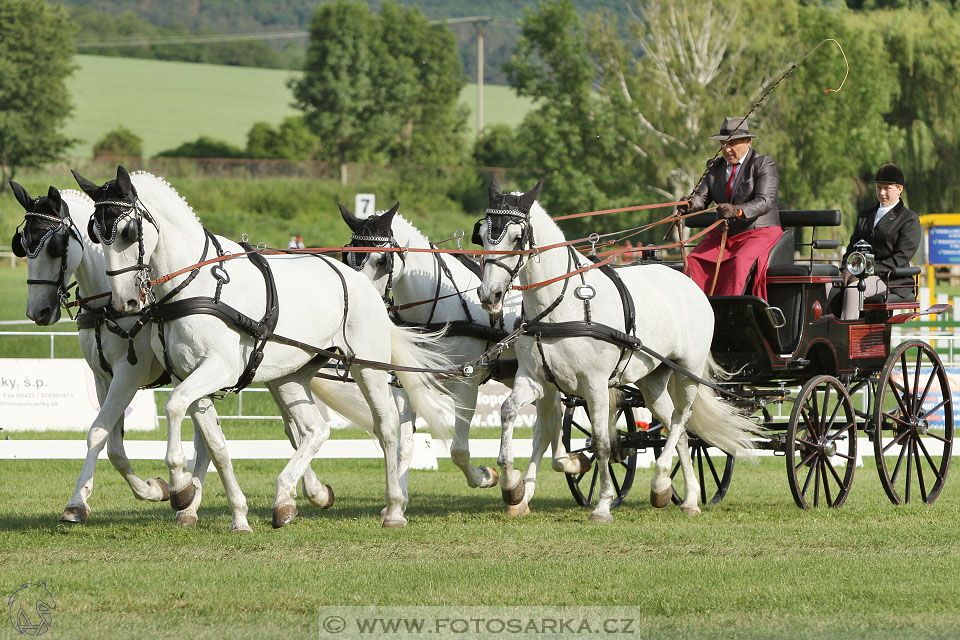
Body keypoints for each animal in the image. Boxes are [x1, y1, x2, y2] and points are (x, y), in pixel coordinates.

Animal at [9, 179, 356, 524]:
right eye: (22, 245)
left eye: (55, 247)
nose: (37, 312)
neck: (109, 303)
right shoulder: (103, 377)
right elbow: (112, 442)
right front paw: (144, 491)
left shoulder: (128, 375)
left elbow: (100, 434)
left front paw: (150, 491)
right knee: (279, 431)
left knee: (291, 429)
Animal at [71, 165, 454, 528]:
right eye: (94, 235)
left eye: (127, 233)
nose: (125, 302)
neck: (195, 285)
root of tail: (361, 283)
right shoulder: (188, 376)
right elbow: (214, 445)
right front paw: (231, 513)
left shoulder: (212, 369)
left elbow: (174, 407)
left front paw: (179, 487)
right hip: (290, 376)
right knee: (314, 430)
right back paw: (285, 499)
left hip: (367, 369)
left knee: (388, 427)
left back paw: (394, 508)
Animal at [342, 205, 588, 516]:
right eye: (347, 257)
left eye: (382, 260)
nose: (364, 310)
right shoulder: (405, 385)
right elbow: (405, 445)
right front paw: (397, 505)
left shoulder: (467, 384)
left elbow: (458, 450)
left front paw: (487, 476)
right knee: (552, 420)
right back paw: (557, 470)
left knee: (547, 426)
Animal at [476, 178, 752, 524]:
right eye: (482, 234)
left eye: (516, 237)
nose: (490, 295)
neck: (559, 305)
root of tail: (689, 283)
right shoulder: (535, 379)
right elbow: (509, 411)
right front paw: (512, 487)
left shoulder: (594, 385)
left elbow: (602, 443)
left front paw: (603, 505)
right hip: (653, 380)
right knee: (679, 428)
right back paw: (680, 494)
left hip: (687, 372)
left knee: (681, 419)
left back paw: (669, 486)